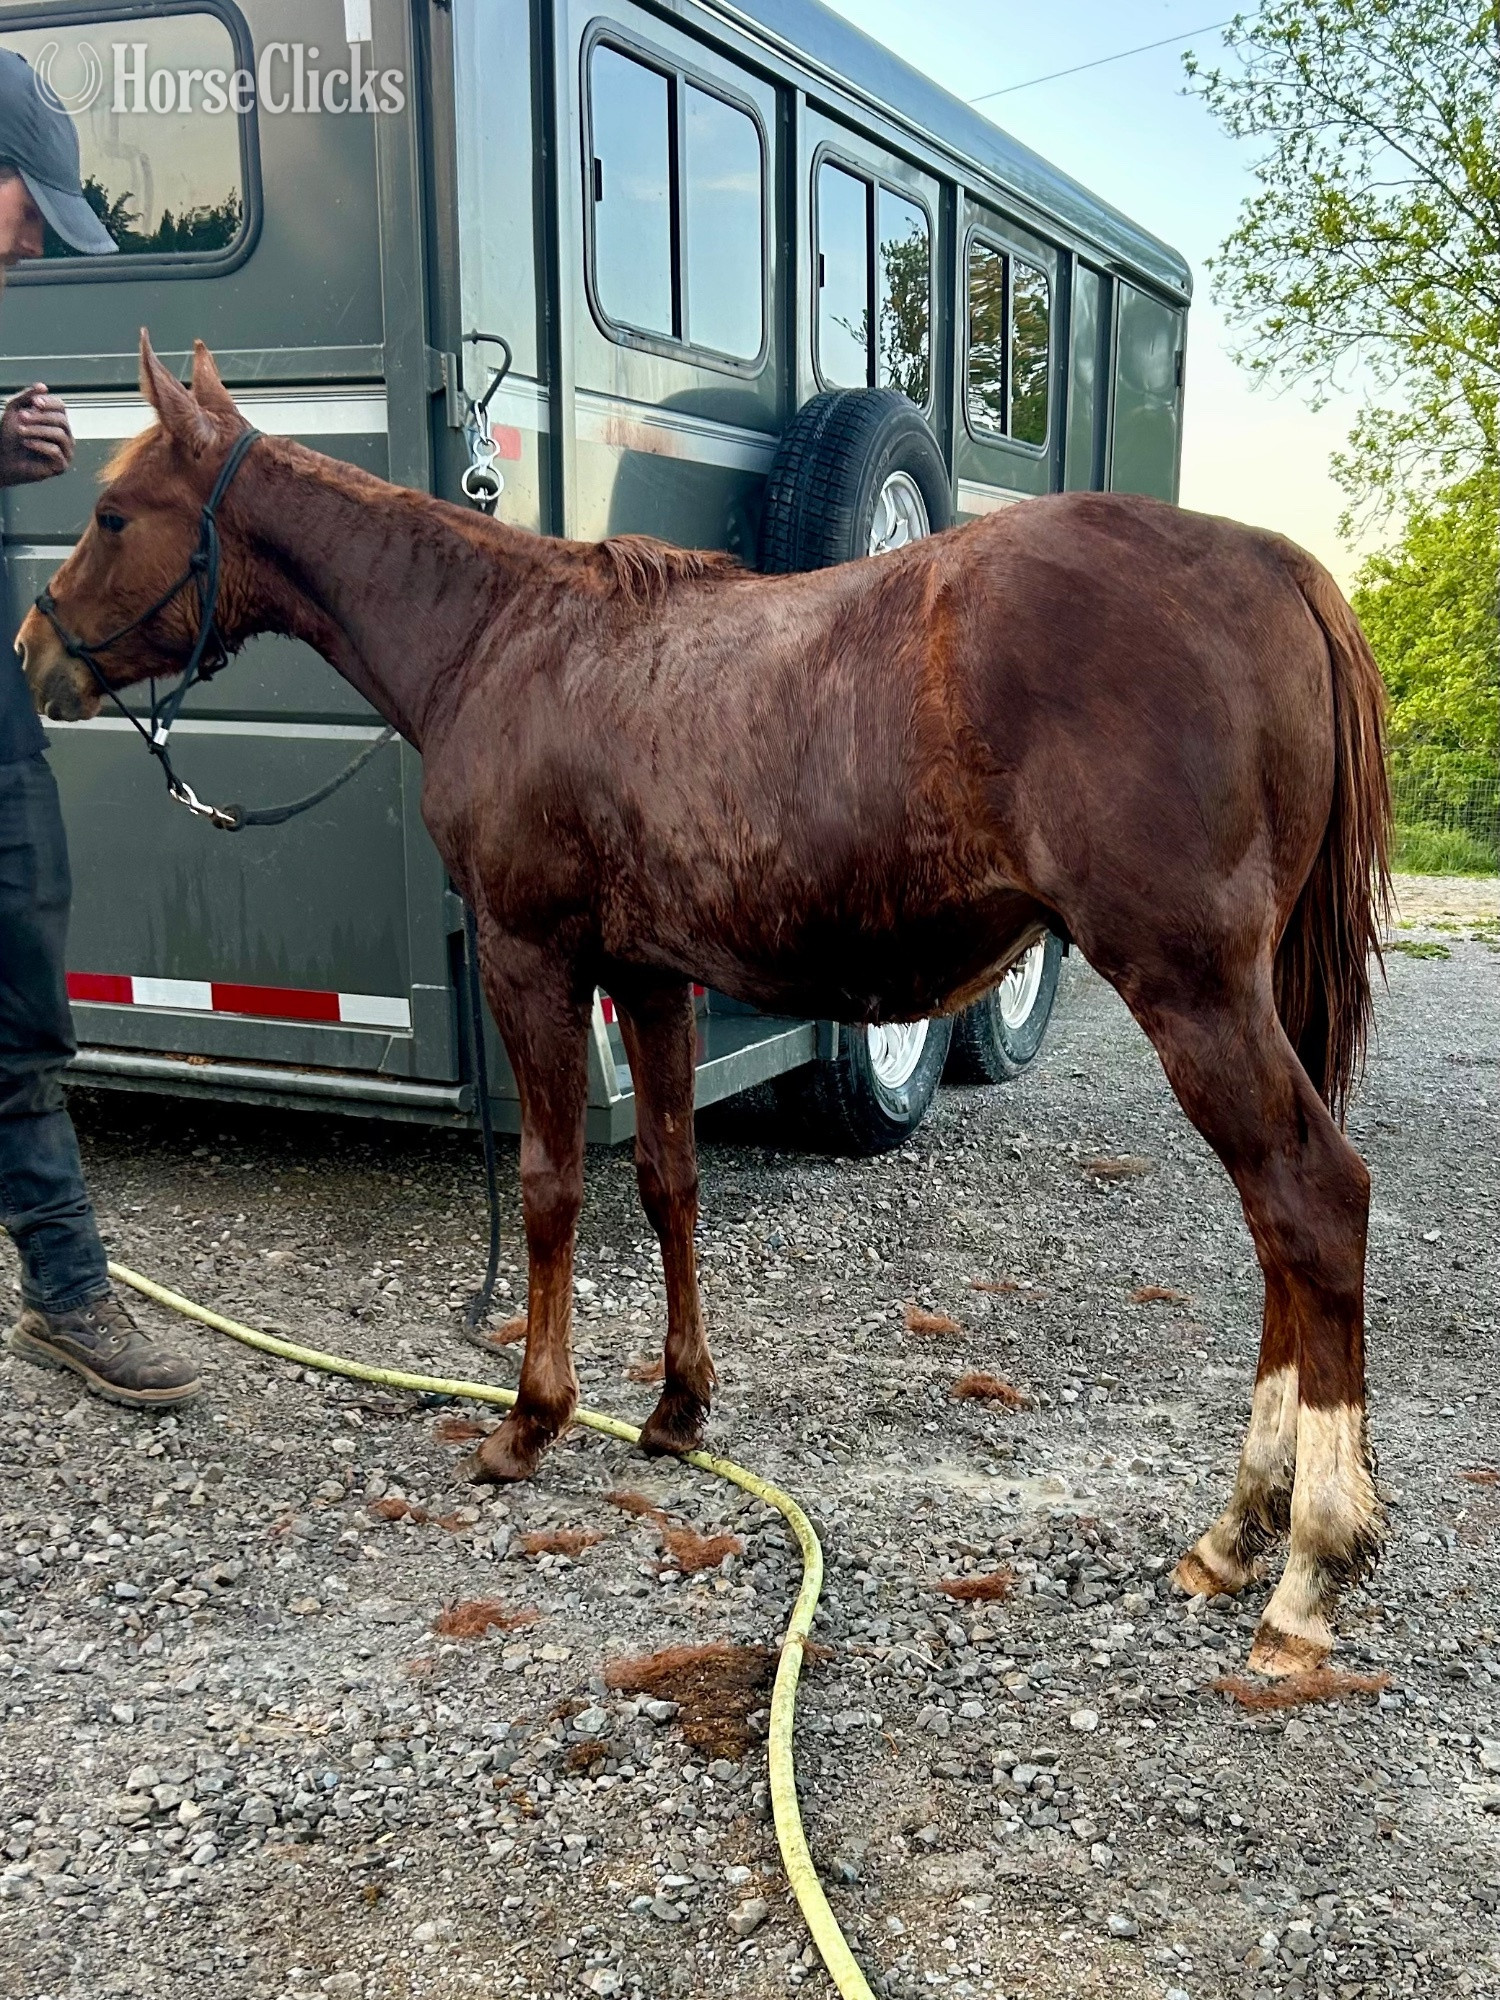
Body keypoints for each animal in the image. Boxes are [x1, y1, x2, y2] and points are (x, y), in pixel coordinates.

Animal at [18, 335, 1391, 1677]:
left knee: (1309, 1200)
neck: (499, 638)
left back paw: (1307, 1565)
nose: (36, 652)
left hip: (1194, 991)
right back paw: (1237, 1534)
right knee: (1279, 1229)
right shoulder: (649, 974)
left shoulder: (533, 957)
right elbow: (670, 1178)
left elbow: (551, 1185)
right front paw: (677, 1407)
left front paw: (532, 1418)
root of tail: (1275, 565)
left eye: (111, 511)